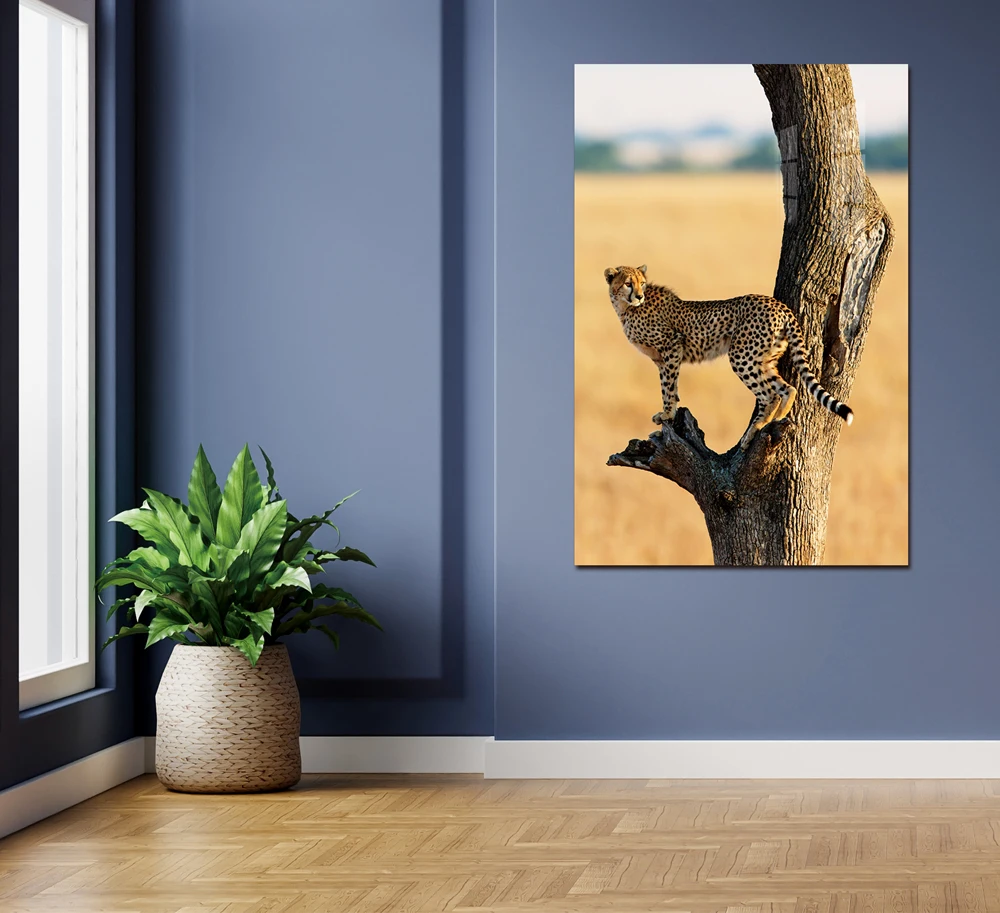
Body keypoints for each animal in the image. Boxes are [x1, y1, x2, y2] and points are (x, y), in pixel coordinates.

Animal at [604, 264, 853, 451]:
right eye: (628, 283)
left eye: (642, 283)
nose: (639, 295)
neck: (627, 308)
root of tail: (779, 305)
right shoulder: (662, 359)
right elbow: (671, 387)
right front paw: (669, 413)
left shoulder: (672, 346)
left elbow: (667, 388)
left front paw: (667, 414)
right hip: (764, 358)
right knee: (788, 388)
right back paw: (777, 419)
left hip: (741, 355)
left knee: (770, 394)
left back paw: (755, 430)